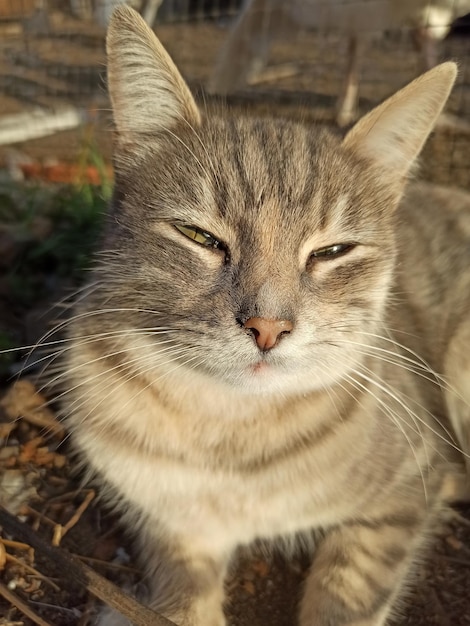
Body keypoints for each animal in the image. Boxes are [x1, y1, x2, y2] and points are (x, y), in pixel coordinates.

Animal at [58, 4, 470, 624]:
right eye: (200, 236)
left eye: (331, 251)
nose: (268, 328)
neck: (230, 438)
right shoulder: (171, 526)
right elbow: (182, 598)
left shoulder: (406, 489)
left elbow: (349, 591)